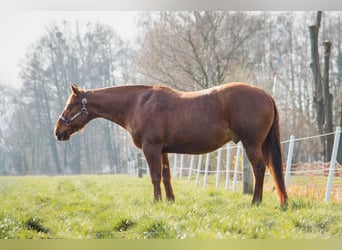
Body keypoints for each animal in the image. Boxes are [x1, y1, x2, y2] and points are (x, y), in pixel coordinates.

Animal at [54, 82, 288, 205]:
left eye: (69, 106)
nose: (58, 131)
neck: (138, 104)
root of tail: (266, 95)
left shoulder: (151, 148)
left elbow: (155, 175)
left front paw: (156, 201)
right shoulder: (163, 150)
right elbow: (166, 175)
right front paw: (170, 200)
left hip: (252, 144)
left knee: (259, 169)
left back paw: (256, 201)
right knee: (271, 169)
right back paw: (282, 201)